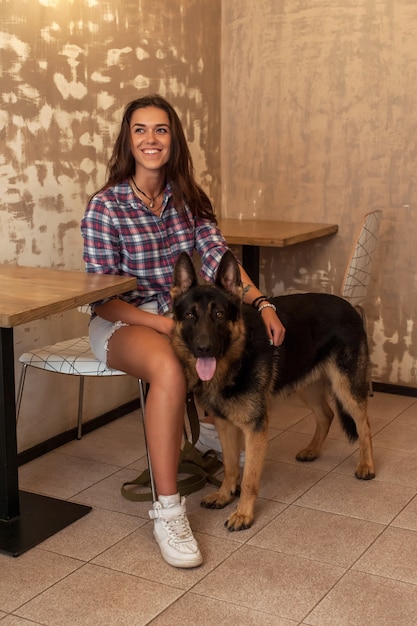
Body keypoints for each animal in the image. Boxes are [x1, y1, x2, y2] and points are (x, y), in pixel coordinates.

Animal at [169, 251, 374, 528]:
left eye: (219, 315)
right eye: (190, 316)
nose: (204, 348)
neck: (238, 358)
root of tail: (350, 306)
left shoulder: (255, 429)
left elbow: (249, 478)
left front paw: (243, 513)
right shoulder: (225, 426)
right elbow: (230, 466)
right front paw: (224, 495)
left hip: (346, 388)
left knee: (363, 424)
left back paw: (366, 465)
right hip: (306, 385)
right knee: (327, 415)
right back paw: (313, 450)